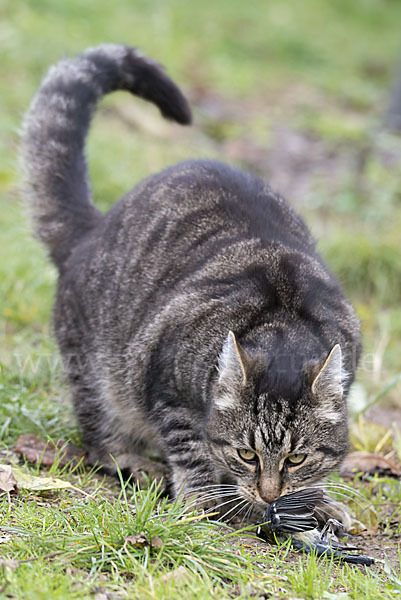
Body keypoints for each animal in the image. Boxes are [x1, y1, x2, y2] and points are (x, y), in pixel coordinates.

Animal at [21, 44, 360, 516]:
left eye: (296, 458)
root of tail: (92, 228)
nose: (269, 494)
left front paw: (317, 500)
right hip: (97, 374)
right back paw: (132, 460)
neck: (285, 318)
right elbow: (190, 446)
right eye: (246, 454)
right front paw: (201, 500)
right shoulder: (168, 386)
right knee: (99, 437)